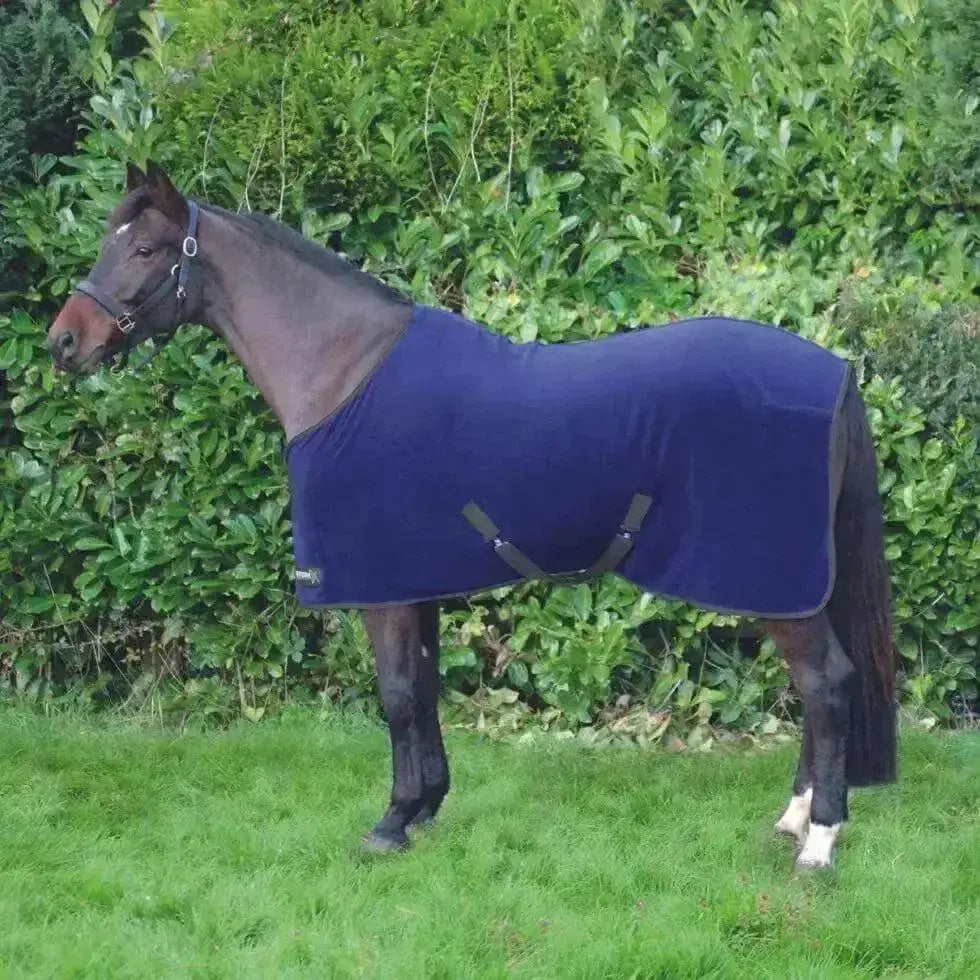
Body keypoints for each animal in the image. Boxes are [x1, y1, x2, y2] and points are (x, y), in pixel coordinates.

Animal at [48, 161, 896, 870]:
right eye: (108, 241)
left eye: (147, 249)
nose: (64, 342)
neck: (344, 372)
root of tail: (833, 372)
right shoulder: (414, 584)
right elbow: (423, 691)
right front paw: (425, 807)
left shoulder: (381, 589)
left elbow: (395, 696)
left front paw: (390, 823)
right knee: (818, 690)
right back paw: (795, 817)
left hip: (776, 584)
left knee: (825, 685)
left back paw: (818, 841)